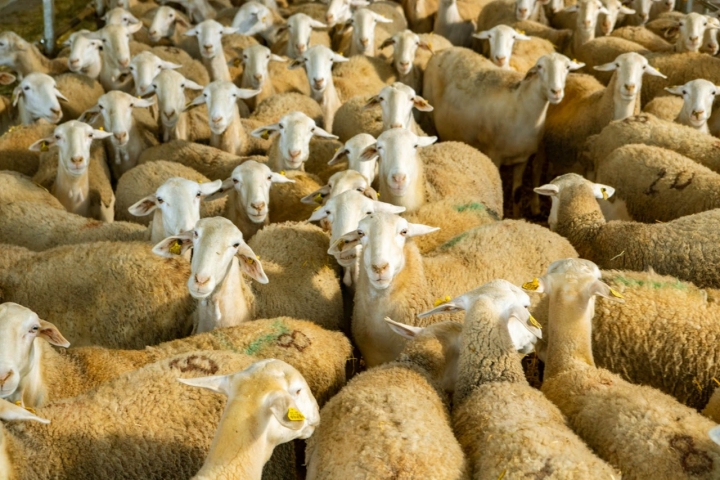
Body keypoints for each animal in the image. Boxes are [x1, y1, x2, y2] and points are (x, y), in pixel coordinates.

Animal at [423, 49, 584, 216]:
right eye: (540, 67)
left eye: (567, 67)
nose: (556, 92)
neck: (520, 105)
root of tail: (441, 51)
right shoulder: (494, 155)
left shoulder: (522, 159)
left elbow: (517, 193)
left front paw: (518, 217)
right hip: (429, 117)